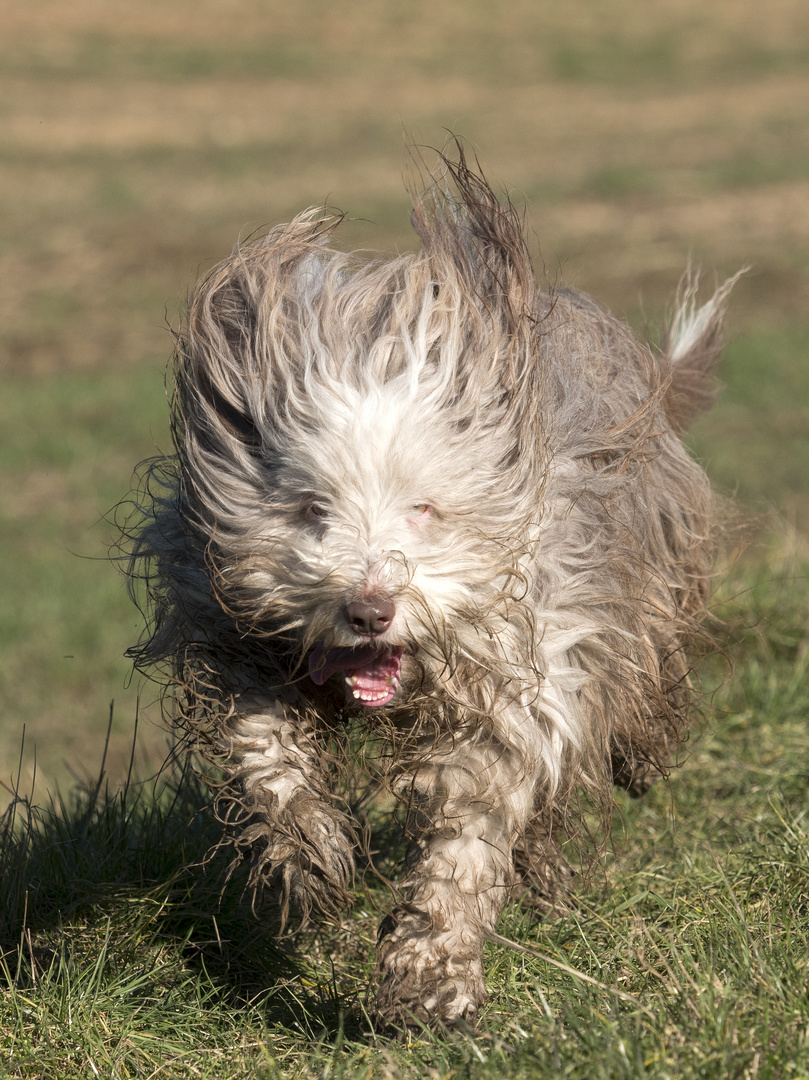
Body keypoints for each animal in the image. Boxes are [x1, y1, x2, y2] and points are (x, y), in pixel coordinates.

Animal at [124, 147, 730, 1023]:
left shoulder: (522, 665)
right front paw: (308, 856)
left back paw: (637, 756)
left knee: (642, 674)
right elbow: (261, 748)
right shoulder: (234, 627)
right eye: (312, 508)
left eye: (424, 508)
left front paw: (429, 973)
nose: (367, 610)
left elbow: (467, 826)